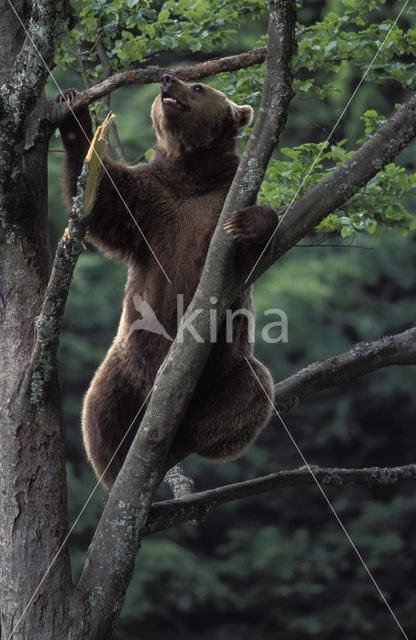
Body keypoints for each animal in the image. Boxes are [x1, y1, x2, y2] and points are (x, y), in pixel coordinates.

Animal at [57, 74, 278, 490]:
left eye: (199, 87)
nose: (167, 80)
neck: (190, 178)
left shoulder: (222, 203)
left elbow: (255, 242)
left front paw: (249, 223)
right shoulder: (149, 206)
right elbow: (104, 196)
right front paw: (74, 113)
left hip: (227, 365)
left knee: (251, 392)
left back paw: (188, 433)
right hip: (123, 367)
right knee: (97, 411)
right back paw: (117, 466)